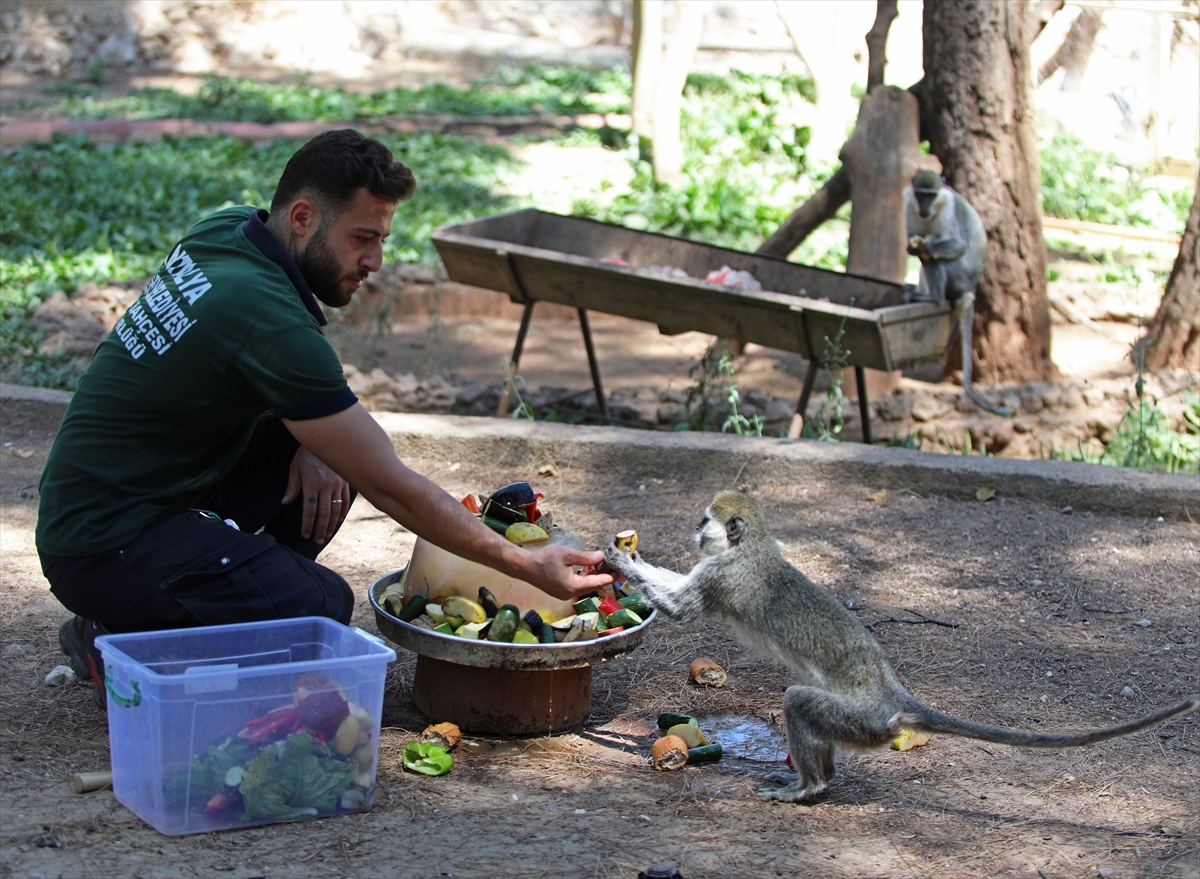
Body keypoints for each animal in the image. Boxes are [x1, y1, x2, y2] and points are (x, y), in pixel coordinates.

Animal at [604, 489, 1195, 806]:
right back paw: (817, 780)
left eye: (705, 521)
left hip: (861, 721)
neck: (752, 548)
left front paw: (620, 562)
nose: (694, 529)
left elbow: (682, 608)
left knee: (800, 700)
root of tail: (892, 698)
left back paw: (810, 787)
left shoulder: (721, 578)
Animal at [902, 174, 1012, 417]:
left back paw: (933, 297)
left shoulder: (948, 208)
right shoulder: (909, 207)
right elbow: (913, 238)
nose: (924, 207)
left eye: (931, 196)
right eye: (920, 195)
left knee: (936, 258)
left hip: (959, 274)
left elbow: (957, 243)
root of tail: (970, 288)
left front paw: (925, 246)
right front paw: (913, 247)